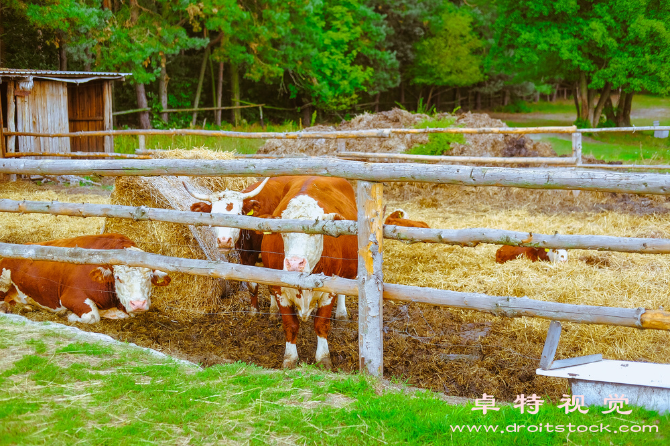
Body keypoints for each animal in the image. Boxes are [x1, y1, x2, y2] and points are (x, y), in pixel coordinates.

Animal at [0, 233, 172, 324]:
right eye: (118, 277)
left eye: (149, 277)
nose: (138, 304)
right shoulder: (71, 296)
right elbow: (92, 316)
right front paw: (69, 315)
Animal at [182, 176, 300, 312]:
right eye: (212, 216)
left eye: (239, 215)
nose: (224, 241)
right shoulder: (245, 256)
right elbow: (252, 286)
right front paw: (254, 312)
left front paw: (273, 311)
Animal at [262, 177, 356, 370]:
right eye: (284, 232)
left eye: (315, 233)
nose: (294, 263)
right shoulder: (280, 291)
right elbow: (290, 325)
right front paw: (290, 357)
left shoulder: (329, 291)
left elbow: (321, 324)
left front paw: (323, 358)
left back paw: (341, 313)